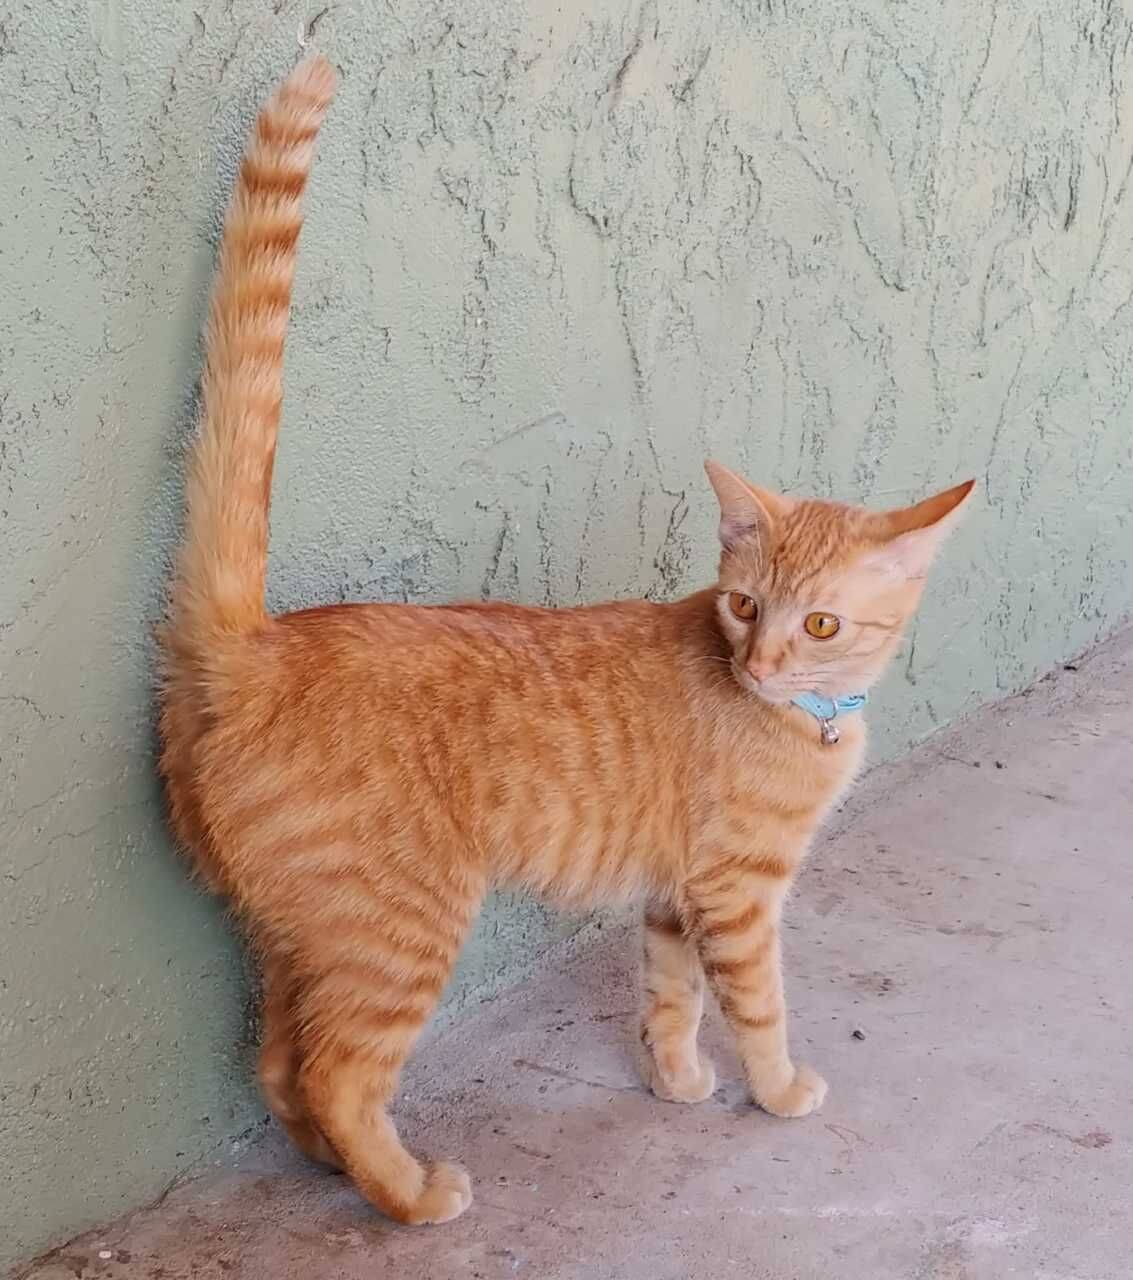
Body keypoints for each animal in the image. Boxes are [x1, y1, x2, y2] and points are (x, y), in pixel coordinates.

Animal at [159, 55, 972, 1223]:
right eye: (742, 606)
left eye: (814, 623)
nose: (761, 661)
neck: (803, 718)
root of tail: (257, 644)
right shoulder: (738, 892)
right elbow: (759, 1006)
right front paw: (775, 1090)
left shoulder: (677, 896)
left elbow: (671, 998)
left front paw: (676, 1079)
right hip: (399, 930)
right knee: (338, 1070)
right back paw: (411, 1195)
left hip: (304, 932)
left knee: (281, 1063)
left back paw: (333, 1165)